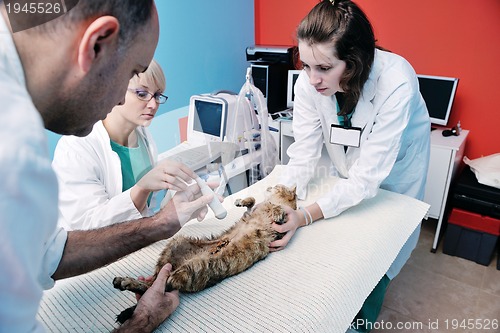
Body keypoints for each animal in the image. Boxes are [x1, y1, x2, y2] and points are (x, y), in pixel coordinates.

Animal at [113, 183, 296, 322]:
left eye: (277, 186)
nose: (269, 186)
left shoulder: (279, 227)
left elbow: (279, 210)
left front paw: (277, 210)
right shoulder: (250, 212)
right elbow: (252, 201)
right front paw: (241, 200)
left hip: (192, 268)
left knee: (160, 284)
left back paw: (126, 283)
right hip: (177, 243)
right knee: (154, 281)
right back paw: (125, 282)